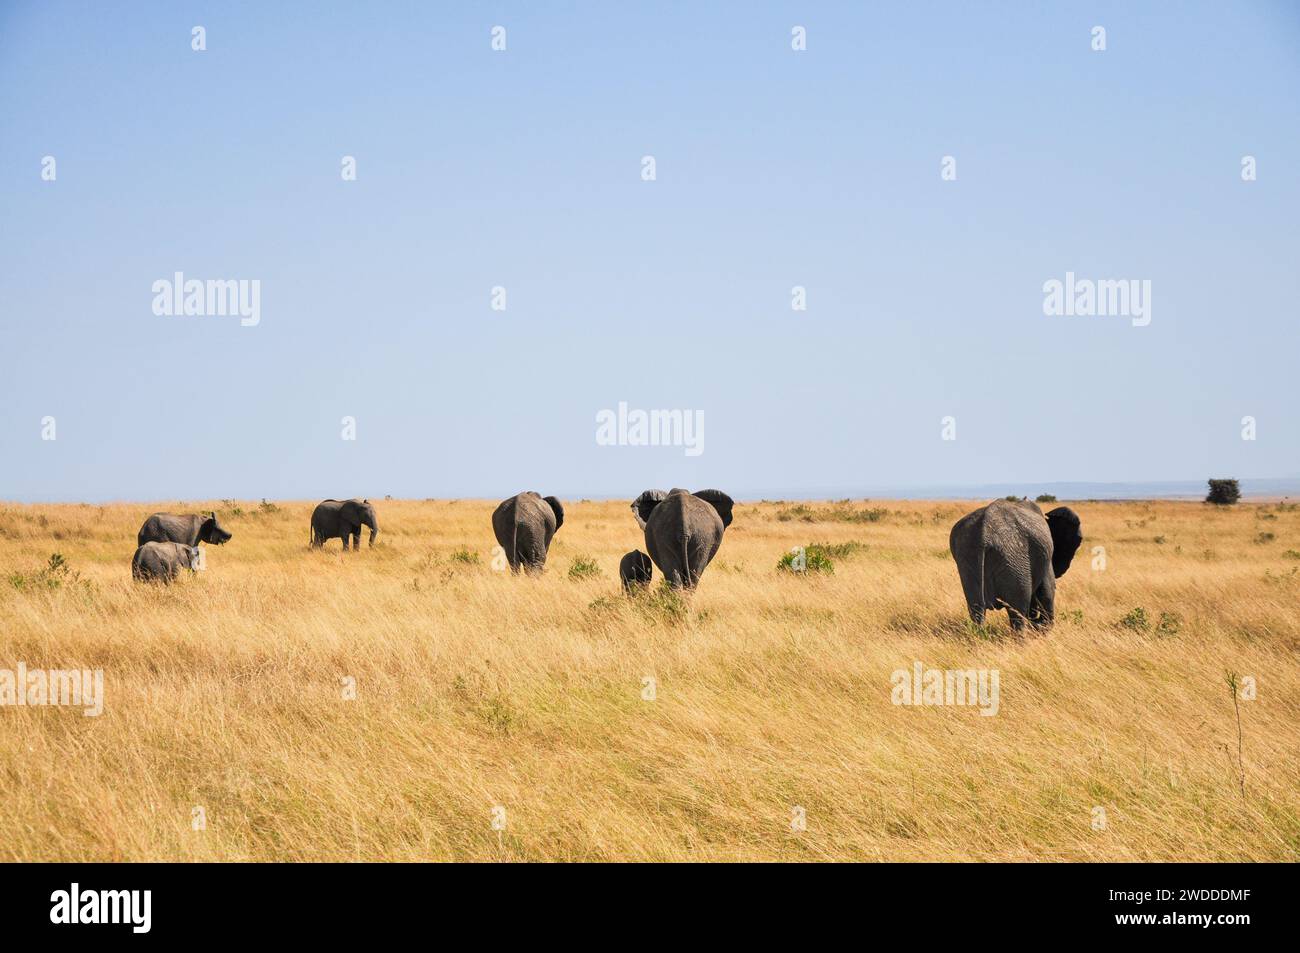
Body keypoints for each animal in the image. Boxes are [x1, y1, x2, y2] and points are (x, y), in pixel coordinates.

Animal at [951, 499, 1081, 631]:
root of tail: (984, 534)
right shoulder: (1046, 555)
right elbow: (1048, 590)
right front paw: (1041, 628)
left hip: (968, 556)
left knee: (976, 610)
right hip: (1014, 560)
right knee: (1018, 611)